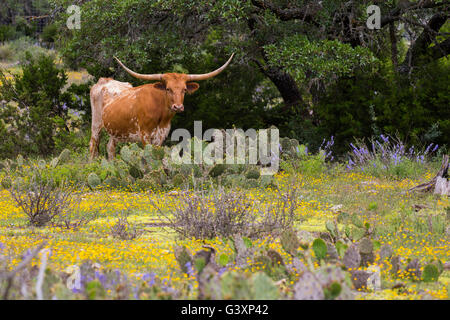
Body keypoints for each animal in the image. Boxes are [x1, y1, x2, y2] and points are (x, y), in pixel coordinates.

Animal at [89, 54, 236, 162]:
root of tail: (104, 80)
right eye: (168, 89)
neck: (161, 113)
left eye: (184, 90)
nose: (178, 107)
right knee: (93, 146)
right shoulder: (145, 134)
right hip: (96, 124)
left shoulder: (161, 135)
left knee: (110, 147)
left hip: (116, 131)